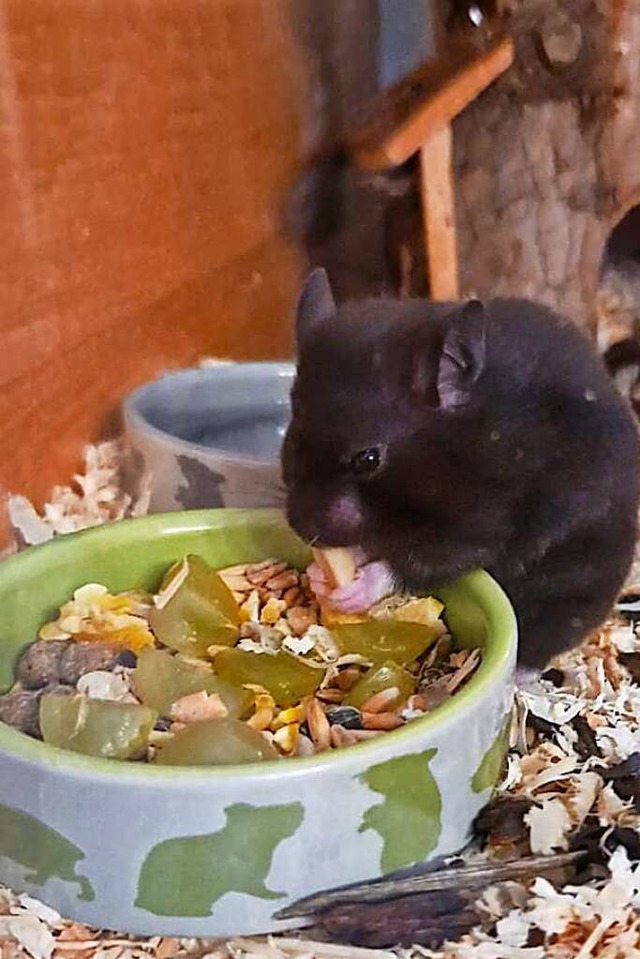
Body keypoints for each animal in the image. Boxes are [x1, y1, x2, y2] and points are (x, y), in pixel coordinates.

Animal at [282, 270, 640, 672]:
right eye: (292, 436)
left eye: (368, 459)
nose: (304, 532)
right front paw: (319, 577)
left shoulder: (485, 525)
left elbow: (416, 561)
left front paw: (352, 589)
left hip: (571, 583)